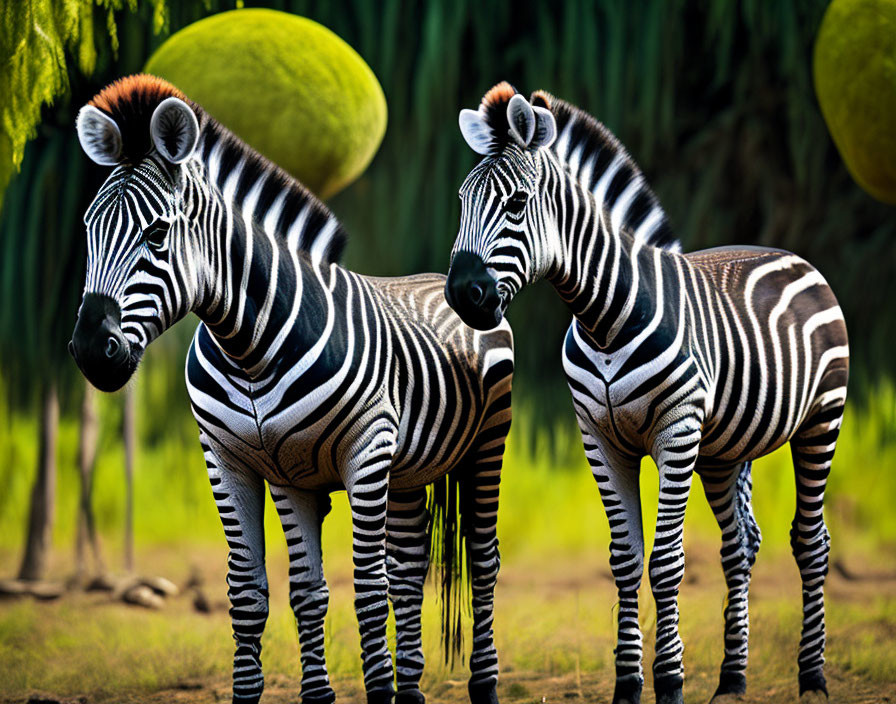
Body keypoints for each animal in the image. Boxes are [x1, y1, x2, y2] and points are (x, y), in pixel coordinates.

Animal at [71, 77, 516, 704]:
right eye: (89, 229)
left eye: (157, 232)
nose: (91, 349)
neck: (249, 348)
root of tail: (443, 278)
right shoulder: (248, 466)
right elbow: (274, 593)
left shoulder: (365, 452)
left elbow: (366, 590)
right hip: (409, 471)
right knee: (409, 573)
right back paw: (411, 689)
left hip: (484, 447)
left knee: (480, 562)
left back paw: (483, 682)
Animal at [444, 84, 852, 704]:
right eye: (463, 202)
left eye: (515, 204)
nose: (462, 295)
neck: (604, 319)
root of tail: (789, 255)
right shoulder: (599, 439)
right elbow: (624, 561)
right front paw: (629, 683)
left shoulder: (675, 432)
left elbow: (665, 563)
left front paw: (671, 680)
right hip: (723, 452)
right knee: (740, 546)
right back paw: (732, 679)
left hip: (819, 422)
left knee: (811, 542)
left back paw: (812, 678)